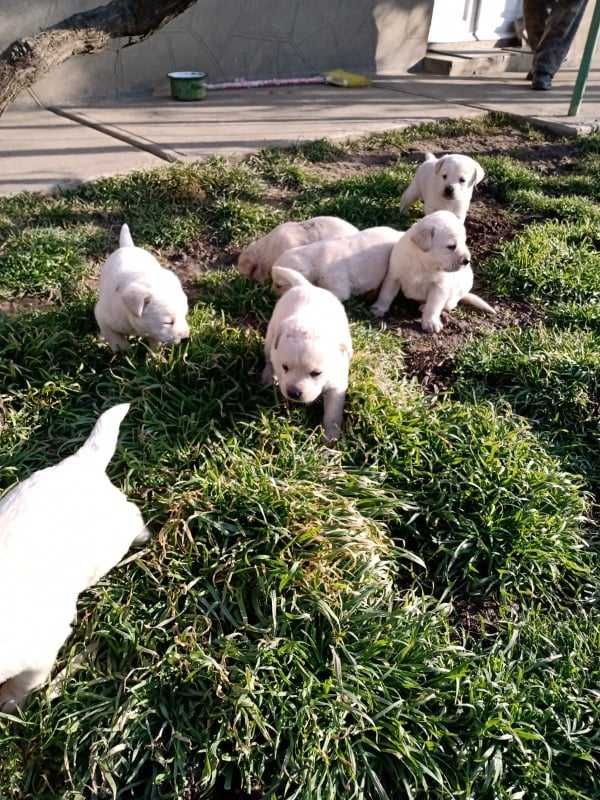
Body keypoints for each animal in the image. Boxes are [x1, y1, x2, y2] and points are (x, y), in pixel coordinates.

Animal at [0, 404, 149, 708]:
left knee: (133, 515)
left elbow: (23, 684)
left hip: (112, 541)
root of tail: (84, 464)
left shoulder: (40, 654)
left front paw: (9, 704)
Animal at [94, 223, 190, 352]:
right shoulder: (103, 316)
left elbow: (154, 343)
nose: (186, 339)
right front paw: (124, 349)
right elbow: (113, 336)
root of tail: (129, 247)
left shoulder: (153, 332)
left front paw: (154, 354)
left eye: (184, 316)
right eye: (168, 322)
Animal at [262, 268, 352, 444]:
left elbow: (333, 413)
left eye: (316, 373)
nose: (293, 393)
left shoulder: (336, 384)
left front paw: (330, 437)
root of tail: (307, 286)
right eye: (285, 367)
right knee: (268, 358)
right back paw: (268, 376)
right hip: (271, 336)